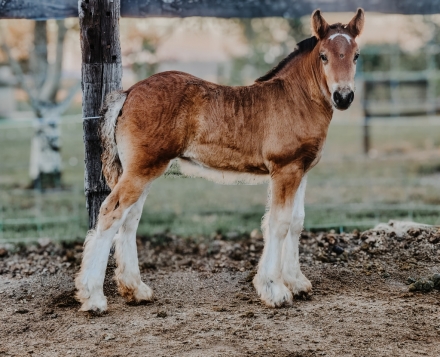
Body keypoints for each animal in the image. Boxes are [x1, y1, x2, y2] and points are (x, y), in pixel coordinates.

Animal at [75, 7, 364, 308]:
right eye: (324, 56)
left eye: (356, 55)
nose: (343, 96)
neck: (296, 99)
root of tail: (128, 93)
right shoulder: (284, 170)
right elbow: (279, 224)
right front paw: (275, 290)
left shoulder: (301, 170)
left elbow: (296, 222)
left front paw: (296, 283)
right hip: (141, 170)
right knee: (111, 213)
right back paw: (94, 297)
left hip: (143, 170)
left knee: (129, 219)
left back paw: (135, 289)